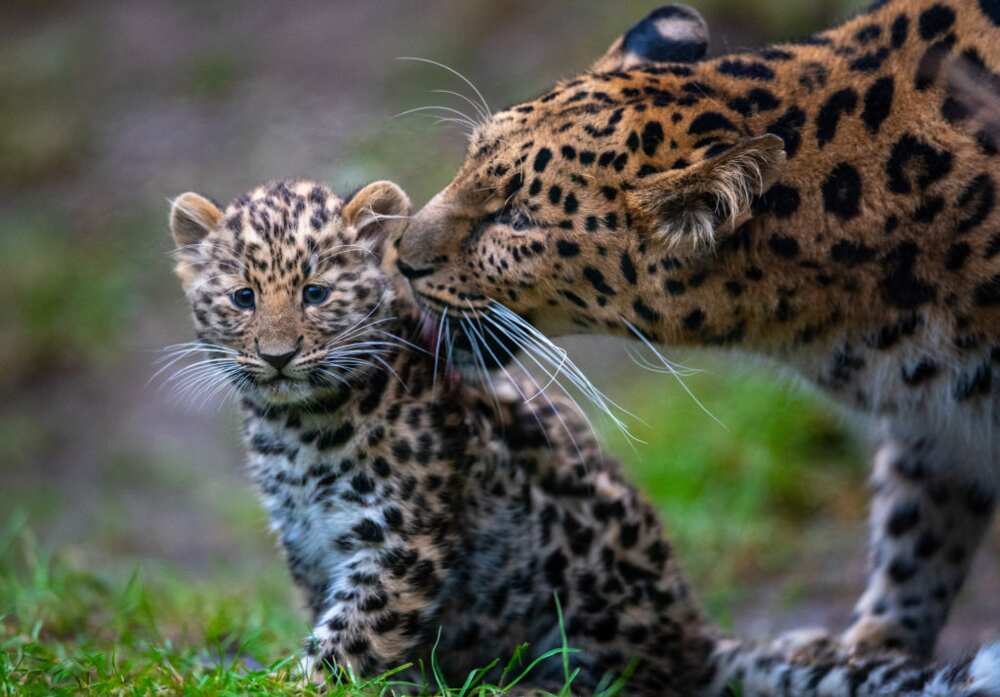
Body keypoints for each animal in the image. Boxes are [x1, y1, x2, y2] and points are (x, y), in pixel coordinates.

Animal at [396, 0, 1000, 656]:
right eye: (468, 160)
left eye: (519, 220)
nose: (401, 257)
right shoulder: (932, 427)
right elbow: (916, 532)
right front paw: (872, 647)